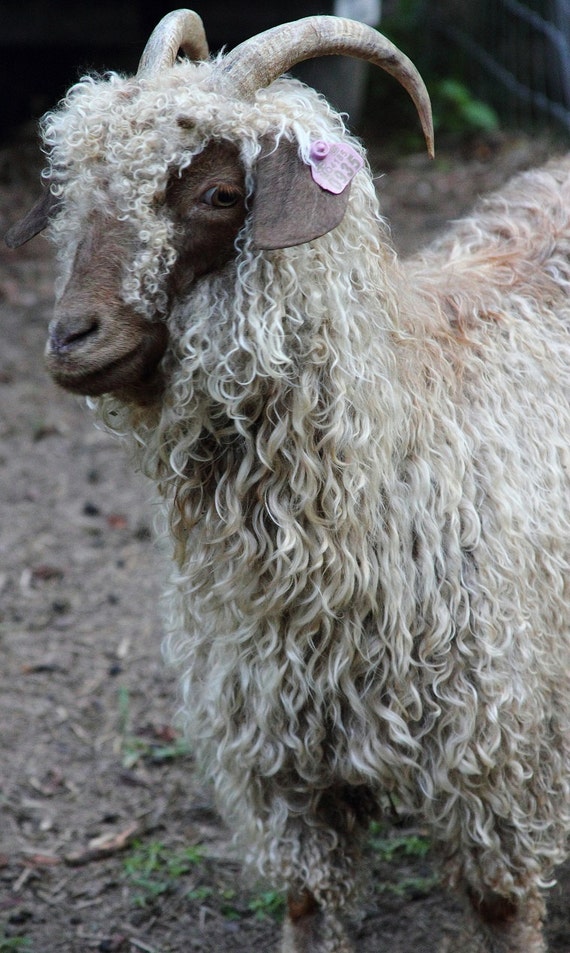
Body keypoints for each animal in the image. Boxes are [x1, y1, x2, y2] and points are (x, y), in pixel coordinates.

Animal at [5, 10, 569, 952]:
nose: (71, 337)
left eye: (216, 195)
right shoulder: (280, 760)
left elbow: (501, 905)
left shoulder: (493, 750)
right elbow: (308, 903)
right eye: (75, 188)